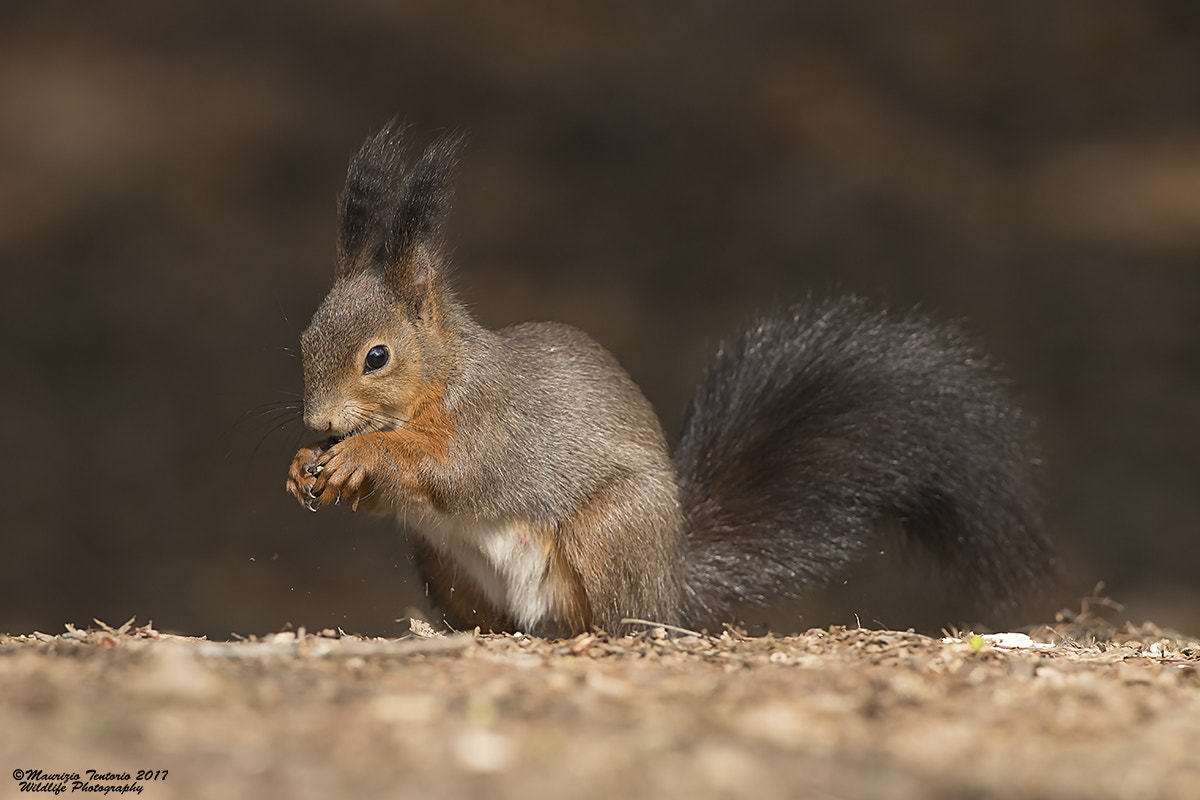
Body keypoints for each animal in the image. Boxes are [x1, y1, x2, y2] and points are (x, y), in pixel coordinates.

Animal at [285, 125, 1056, 638]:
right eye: (305, 338)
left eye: (377, 357)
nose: (319, 424)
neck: (443, 378)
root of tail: (671, 581)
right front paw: (304, 467)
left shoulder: (495, 424)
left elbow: (456, 470)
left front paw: (362, 453)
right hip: (441, 561)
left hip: (608, 533)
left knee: (620, 618)